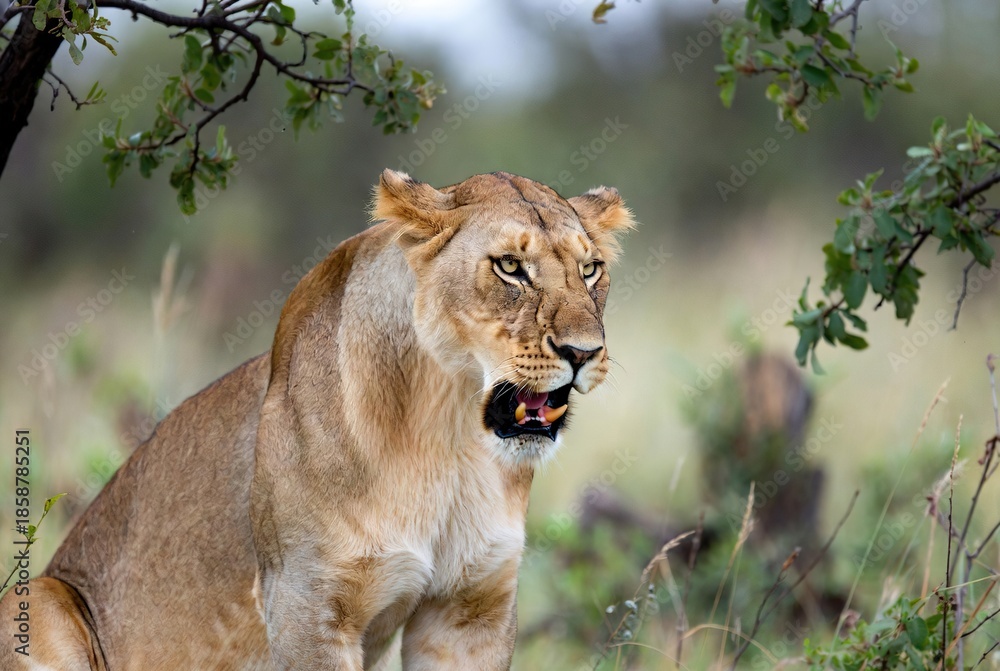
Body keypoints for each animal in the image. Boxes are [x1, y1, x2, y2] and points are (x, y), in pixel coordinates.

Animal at [0, 170, 633, 670]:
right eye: (509, 267)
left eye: (591, 269)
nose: (584, 353)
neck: (450, 433)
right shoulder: (305, 603)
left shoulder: (471, 610)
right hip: (39, 598)